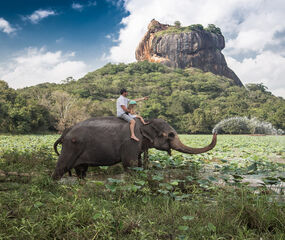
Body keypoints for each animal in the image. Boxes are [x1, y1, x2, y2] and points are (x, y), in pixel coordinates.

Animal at [51, 116, 215, 180]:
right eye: (170, 135)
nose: (215, 131)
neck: (145, 123)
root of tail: (65, 133)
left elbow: (138, 164)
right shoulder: (131, 142)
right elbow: (131, 164)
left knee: (81, 171)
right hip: (70, 147)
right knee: (61, 168)